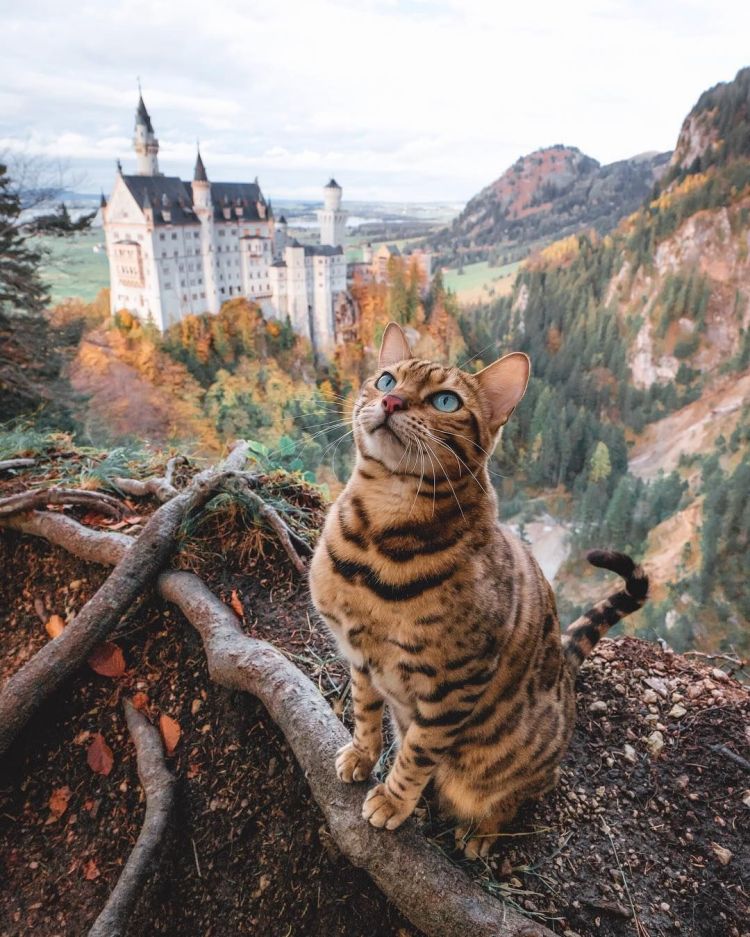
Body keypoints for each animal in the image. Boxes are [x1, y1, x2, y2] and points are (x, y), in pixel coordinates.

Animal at [308, 322, 648, 856]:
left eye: (446, 401)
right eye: (386, 380)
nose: (392, 401)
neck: (376, 540)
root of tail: (567, 677)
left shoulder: (454, 682)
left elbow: (418, 754)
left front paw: (394, 800)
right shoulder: (359, 656)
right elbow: (364, 712)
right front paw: (362, 755)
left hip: (516, 765)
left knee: (517, 794)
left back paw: (482, 831)